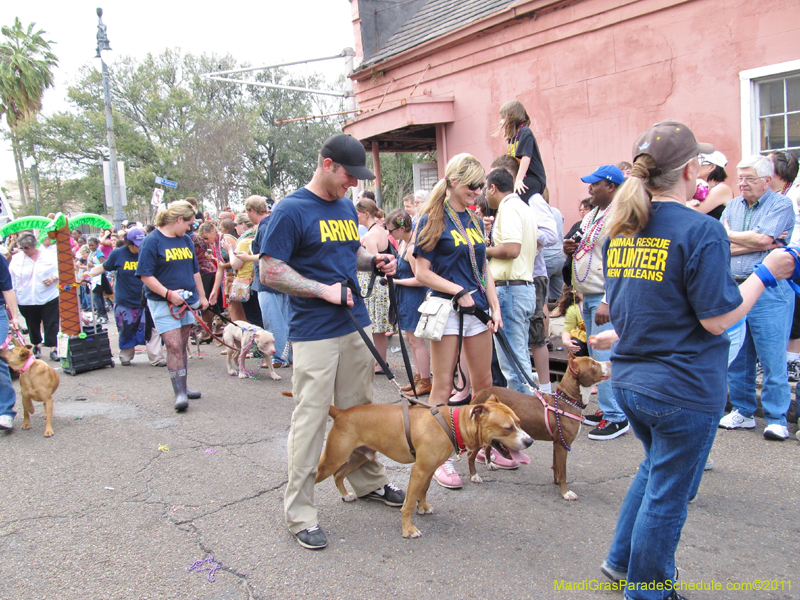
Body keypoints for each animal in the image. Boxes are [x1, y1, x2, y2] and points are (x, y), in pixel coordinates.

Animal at [316, 398, 536, 540]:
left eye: (519, 422)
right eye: (508, 428)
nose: (530, 441)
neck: (454, 424)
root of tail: (341, 412)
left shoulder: (429, 469)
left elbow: (423, 491)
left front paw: (422, 507)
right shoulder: (419, 470)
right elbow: (408, 503)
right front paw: (408, 529)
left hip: (359, 456)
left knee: (338, 474)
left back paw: (345, 495)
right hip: (332, 459)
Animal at [472, 354, 608, 500]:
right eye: (593, 365)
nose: (609, 362)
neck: (567, 400)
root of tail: (479, 394)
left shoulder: (557, 442)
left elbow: (556, 466)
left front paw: (556, 481)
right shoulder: (562, 445)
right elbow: (563, 471)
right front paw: (566, 492)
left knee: (488, 446)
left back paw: (489, 464)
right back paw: (474, 476)